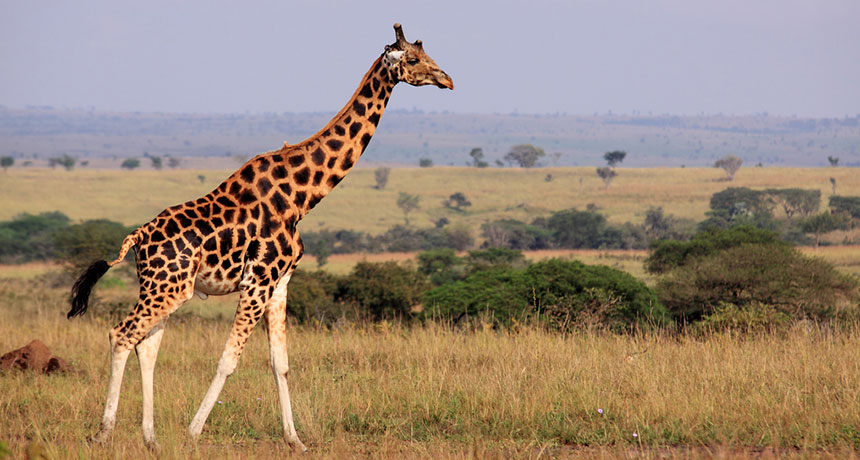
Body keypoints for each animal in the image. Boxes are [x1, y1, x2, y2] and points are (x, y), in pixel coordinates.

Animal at [68, 23, 452, 452]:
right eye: (414, 59)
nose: (447, 80)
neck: (303, 197)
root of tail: (137, 238)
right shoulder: (258, 280)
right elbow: (229, 359)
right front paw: (193, 432)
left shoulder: (280, 281)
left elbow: (279, 363)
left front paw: (295, 440)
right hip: (166, 288)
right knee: (121, 335)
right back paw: (104, 432)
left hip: (164, 288)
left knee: (146, 345)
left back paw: (150, 438)